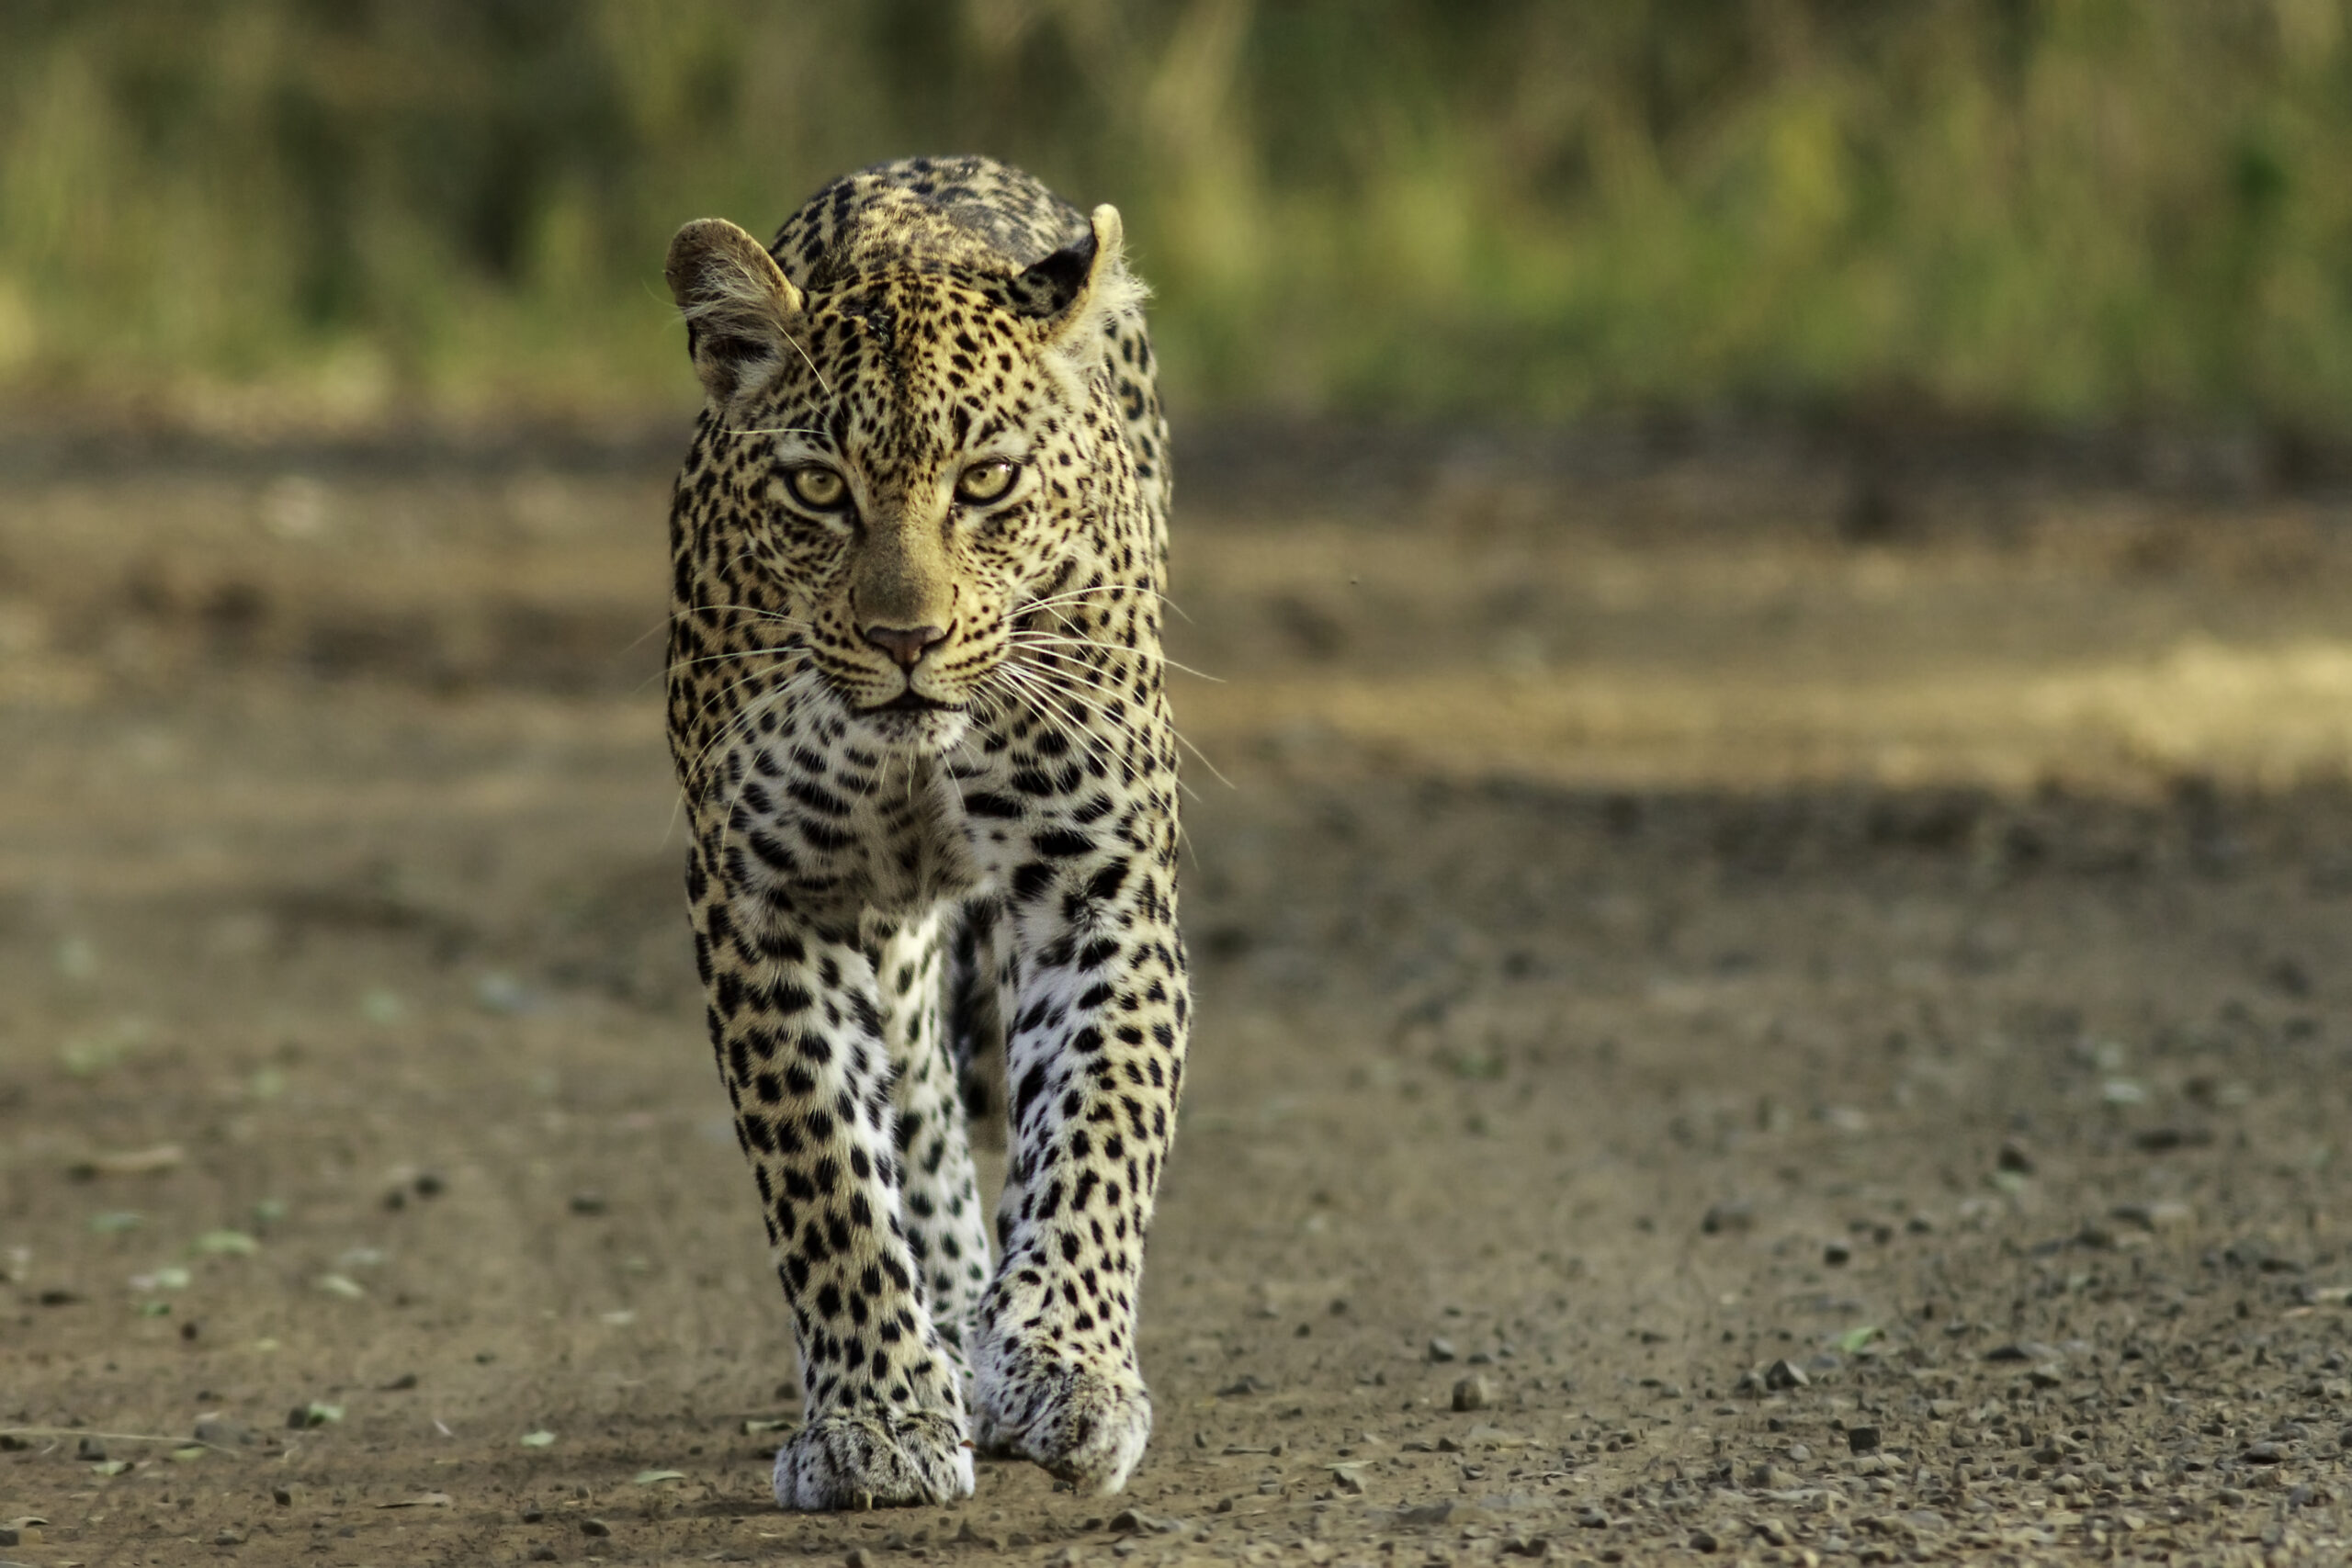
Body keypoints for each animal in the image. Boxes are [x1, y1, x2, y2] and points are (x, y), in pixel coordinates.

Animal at [659, 155, 1189, 1511]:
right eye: (818, 488)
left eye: (987, 481)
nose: (908, 638)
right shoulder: (768, 898)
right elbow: (827, 1174)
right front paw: (878, 1416)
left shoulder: (1095, 882)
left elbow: (1097, 1129)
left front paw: (1063, 1365)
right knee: (916, 1099)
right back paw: (949, 1317)